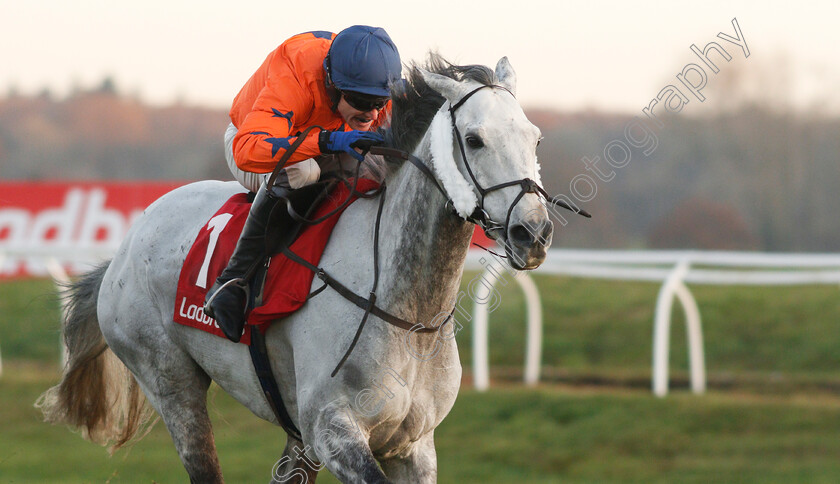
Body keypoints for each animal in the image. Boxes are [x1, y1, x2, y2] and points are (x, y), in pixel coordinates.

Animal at [37, 54, 552, 482]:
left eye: (535, 137)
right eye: (475, 139)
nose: (534, 233)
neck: (408, 312)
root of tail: (128, 243)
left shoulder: (414, 447)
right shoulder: (333, 429)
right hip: (168, 379)